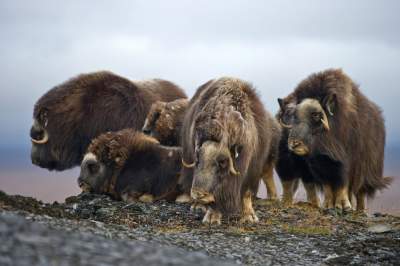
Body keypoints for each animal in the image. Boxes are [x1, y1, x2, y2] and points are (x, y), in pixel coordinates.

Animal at [182, 77, 282, 224]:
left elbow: (247, 193)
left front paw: (249, 217)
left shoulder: (252, 170)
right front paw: (211, 217)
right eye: (198, 157)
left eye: (222, 161)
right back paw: (197, 207)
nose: (198, 194)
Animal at [276, 69, 392, 212]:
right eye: (294, 115)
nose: (294, 143)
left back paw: (360, 210)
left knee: (360, 191)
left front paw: (343, 206)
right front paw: (327, 205)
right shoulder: (318, 165)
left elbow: (342, 184)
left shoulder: (344, 163)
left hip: (366, 171)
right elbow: (327, 185)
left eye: (316, 115)